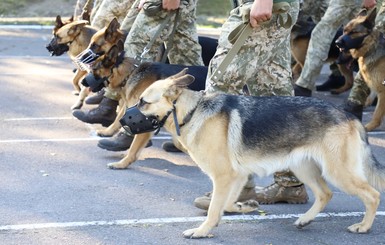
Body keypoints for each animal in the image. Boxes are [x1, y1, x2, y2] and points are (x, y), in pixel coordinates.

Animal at [122, 68, 384, 238]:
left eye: (144, 102)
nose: (123, 120)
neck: (192, 111)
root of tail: (349, 116)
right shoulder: (235, 177)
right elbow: (226, 204)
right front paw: (243, 207)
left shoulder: (224, 177)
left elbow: (214, 209)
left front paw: (202, 231)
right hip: (304, 169)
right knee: (325, 194)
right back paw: (306, 219)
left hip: (338, 172)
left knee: (372, 195)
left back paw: (364, 226)